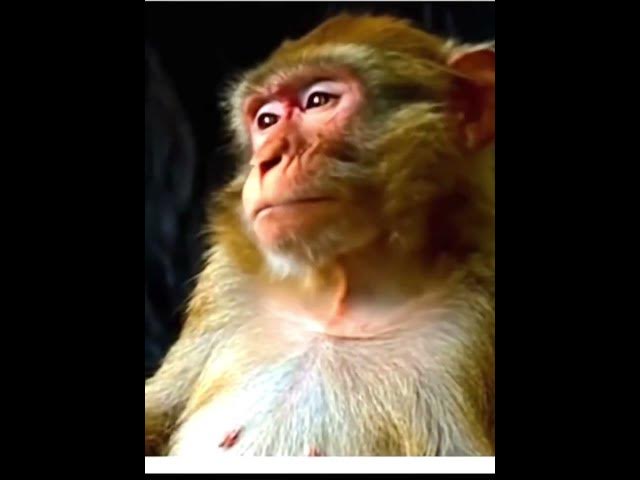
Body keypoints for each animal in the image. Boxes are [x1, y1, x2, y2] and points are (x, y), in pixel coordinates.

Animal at [145, 14, 495, 457]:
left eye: (318, 101)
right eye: (266, 121)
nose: (267, 160)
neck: (339, 303)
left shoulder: (478, 316)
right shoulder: (227, 281)